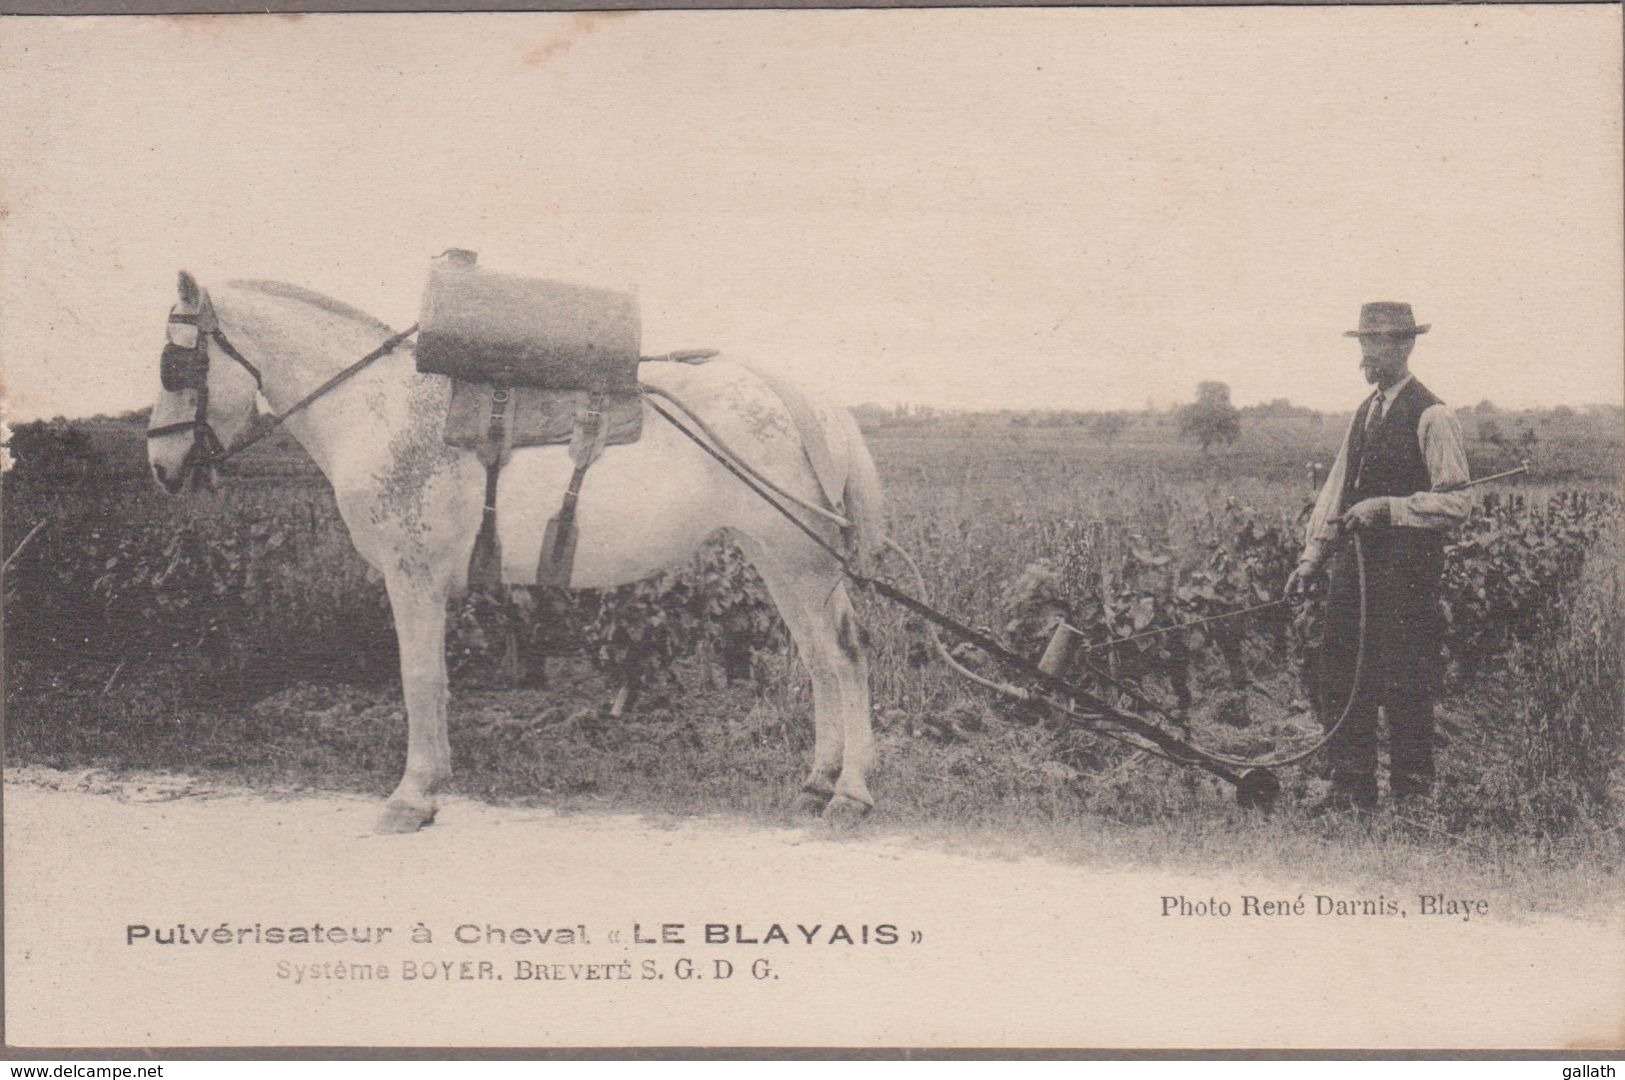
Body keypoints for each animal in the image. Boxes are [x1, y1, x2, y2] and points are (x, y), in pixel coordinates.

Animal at [149, 271, 890, 831]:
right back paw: (817, 782)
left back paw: (850, 791)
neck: (379, 409)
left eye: (176, 363)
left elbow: (421, 680)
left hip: (799, 558)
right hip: (775, 558)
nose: (160, 465)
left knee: (844, 656)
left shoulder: (412, 575)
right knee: (819, 660)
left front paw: (414, 794)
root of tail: (795, 395)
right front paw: (433, 782)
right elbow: (433, 681)